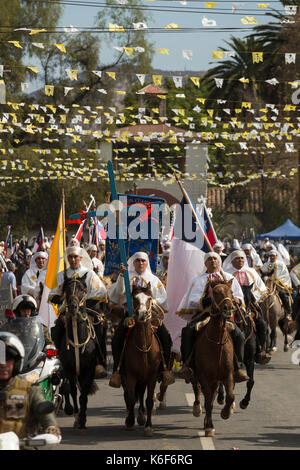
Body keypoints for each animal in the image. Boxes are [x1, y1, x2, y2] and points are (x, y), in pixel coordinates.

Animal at [122, 282, 163, 436]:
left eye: (149, 299)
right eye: (135, 299)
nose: (142, 314)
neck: (144, 348)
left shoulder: (151, 377)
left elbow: (149, 400)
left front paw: (148, 426)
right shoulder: (131, 375)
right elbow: (131, 398)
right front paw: (129, 421)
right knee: (130, 395)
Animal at [192, 280, 237, 436]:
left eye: (231, 291)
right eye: (216, 292)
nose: (228, 308)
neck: (217, 342)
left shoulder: (227, 374)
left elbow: (230, 396)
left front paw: (225, 413)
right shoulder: (204, 375)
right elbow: (207, 401)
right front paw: (209, 426)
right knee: (198, 390)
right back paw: (198, 410)